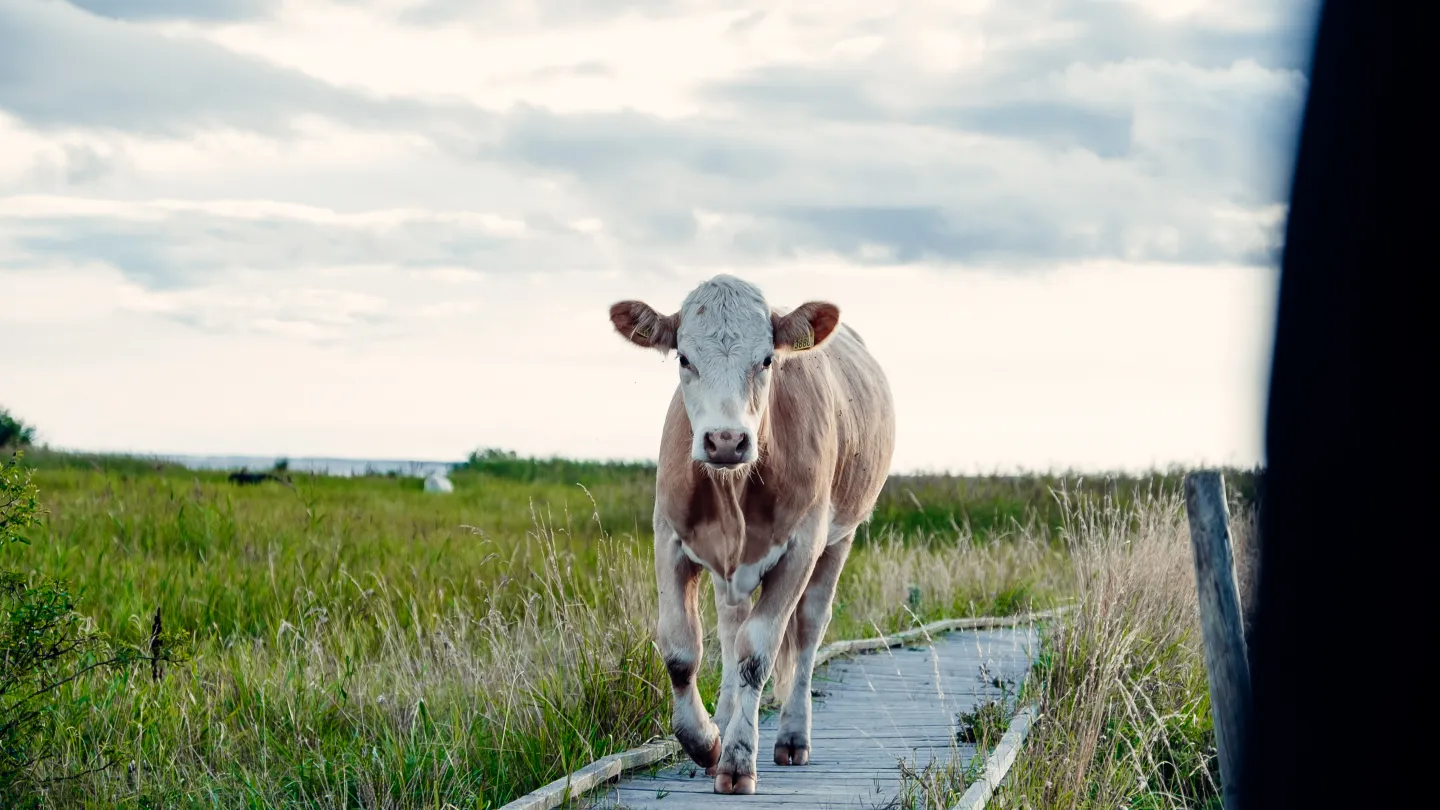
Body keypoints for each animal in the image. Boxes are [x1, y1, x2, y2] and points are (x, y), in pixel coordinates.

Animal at [610, 273, 898, 789]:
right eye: (684, 358)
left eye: (766, 360)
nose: (726, 440)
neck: (733, 489)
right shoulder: (668, 538)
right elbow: (681, 649)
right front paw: (706, 741)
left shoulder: (802, 546)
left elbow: (757, 652)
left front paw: (738, 759)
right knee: (729, 627)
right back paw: (724, 719)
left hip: (839, 540)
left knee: (807, 629)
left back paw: (792, 737)